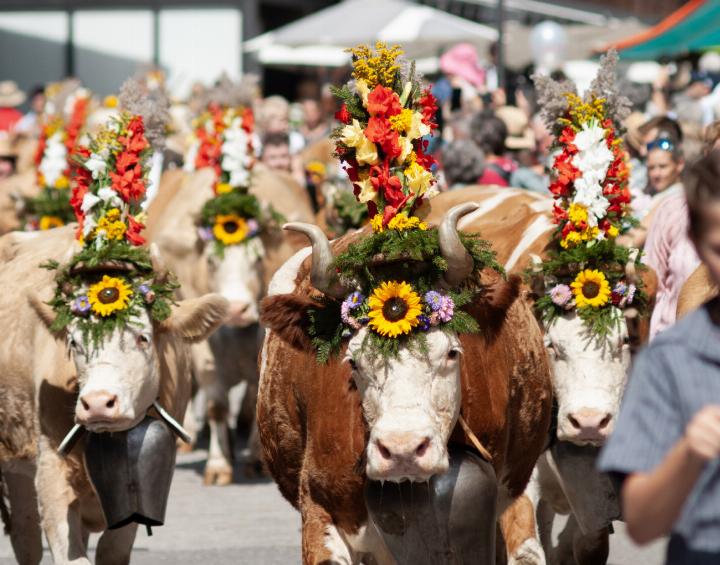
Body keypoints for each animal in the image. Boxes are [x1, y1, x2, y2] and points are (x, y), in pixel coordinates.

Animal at [0, 225, 228, 564]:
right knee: (26, 541)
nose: (97, 404)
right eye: (73, 342)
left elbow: (113, 550)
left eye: (143, 338)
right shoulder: (51, 468)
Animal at [150, 163, 314, 484]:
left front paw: (255, 459)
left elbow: (257, 399)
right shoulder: (203, 349)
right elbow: (215, 405)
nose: (237, 309)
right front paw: (218, 463)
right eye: (211, 262)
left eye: (258, 259)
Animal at [428, 188, 660, 564]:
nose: (589, 422)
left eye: (623, 341)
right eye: (551, 345)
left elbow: (588, 542)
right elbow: (526, 548)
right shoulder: (519, 471)